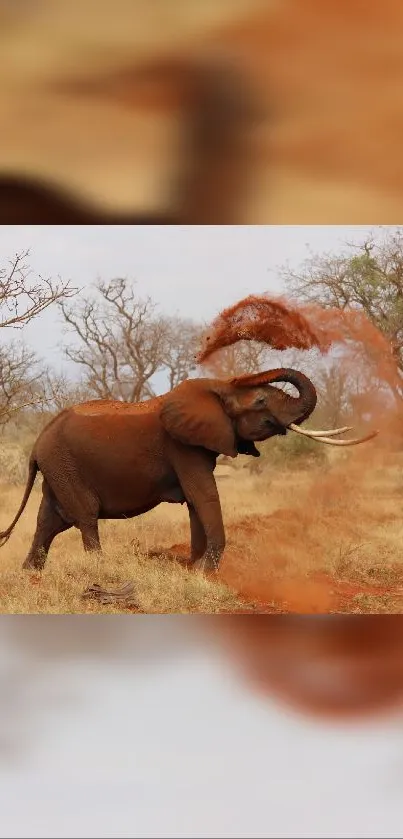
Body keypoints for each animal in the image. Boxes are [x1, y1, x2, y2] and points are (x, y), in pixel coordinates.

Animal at [0, 370, 378, 576]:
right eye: (259, 402)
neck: (216, 389)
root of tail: (37, 443)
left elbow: (197, 502)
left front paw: (193, 568)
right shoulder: (183, 447)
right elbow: (203, 494)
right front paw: (205, 573)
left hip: (58, 469)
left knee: (50, 521)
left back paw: (30, 574)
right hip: (65, 466)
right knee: (85, 517)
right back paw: (100, 570)